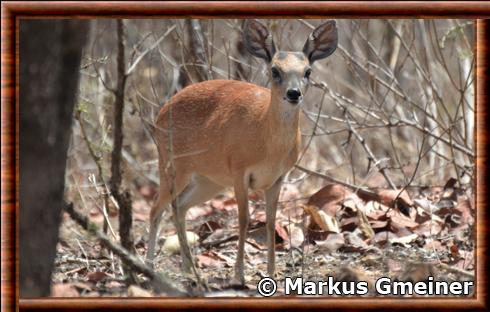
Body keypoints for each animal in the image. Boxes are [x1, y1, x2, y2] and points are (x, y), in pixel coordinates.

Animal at [145, 19, 336, 286]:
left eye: (308, 71)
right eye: (275, 70)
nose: (293, 93)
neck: (267, 145)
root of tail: (161, 112)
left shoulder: (278, 178)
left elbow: (270, 222)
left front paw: (272, 273)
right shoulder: (239, 170)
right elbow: (244, 219)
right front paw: (239, 275)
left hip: (208, 181)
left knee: (179, 207)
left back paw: (190, 270)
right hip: (172, 165)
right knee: (156, 209)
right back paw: (150, 267)